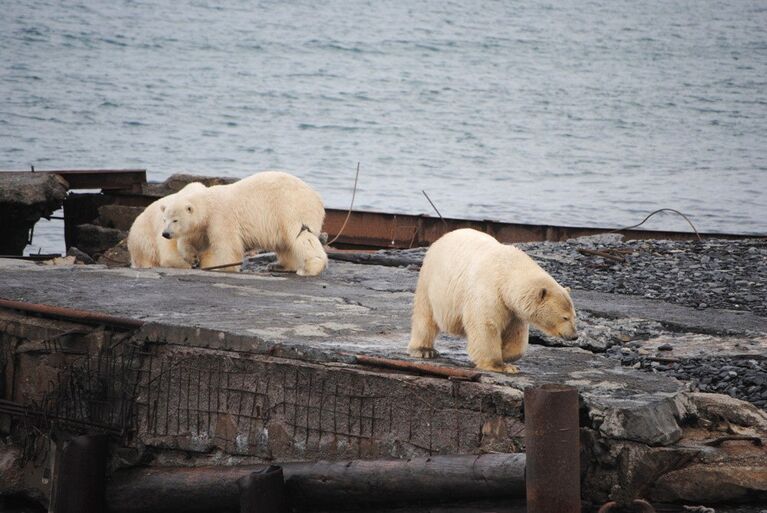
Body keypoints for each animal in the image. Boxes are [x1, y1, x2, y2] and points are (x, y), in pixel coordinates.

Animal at [160, 171, 328, 276]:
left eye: (175, 219)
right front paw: (192, 258)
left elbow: (227, 245)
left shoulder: (221, 216)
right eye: (165, 219)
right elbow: (195, 239)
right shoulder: (206, 225)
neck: (208, 201)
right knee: (285, 245)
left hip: (291, 209)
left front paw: (222, 267)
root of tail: (317, 197)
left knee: (300, 236)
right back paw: (279, 265)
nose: (165, 234)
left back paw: (309, 268)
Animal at [408, 228, 576, 372]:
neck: (507, 271)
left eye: (574, 316)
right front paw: (500, 366)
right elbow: (486, 325)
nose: (574, 336)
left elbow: (516, 333)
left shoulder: (513, 309)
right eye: (565, 317)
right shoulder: (488, 291)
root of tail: (441, 238)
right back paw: (424, 350)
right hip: (431, 281)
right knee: (425, 316)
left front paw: (507, 354)